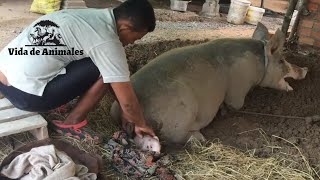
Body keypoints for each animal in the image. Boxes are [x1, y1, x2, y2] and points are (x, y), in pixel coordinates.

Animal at [110, 22, 308, 143]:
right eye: (281, 61)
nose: (306, 69)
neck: (259, 65)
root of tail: (123, 114)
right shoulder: (238, 89)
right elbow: (235, 104)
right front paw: (226, 110)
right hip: (181, 111)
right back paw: (201, 138)